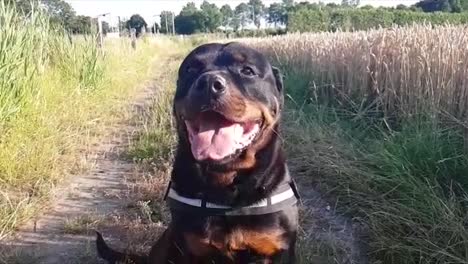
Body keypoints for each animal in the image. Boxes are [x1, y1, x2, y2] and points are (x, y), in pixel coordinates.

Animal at [96, 42, 298, 262]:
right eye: (190, 69)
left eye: (247, 71)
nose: (209, 83)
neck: (224, 187)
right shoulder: (188, 244)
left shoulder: (275, 249)